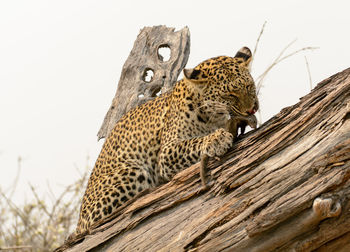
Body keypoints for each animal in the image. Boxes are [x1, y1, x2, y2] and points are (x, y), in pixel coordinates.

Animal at [76, 45, 258, 234]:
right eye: (230, 95)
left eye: (249, 86)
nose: (252, 110)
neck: (213, 115)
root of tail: (79, 224)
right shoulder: (167, 152)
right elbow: (193, 142)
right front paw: (216, 139)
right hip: (132, 170)